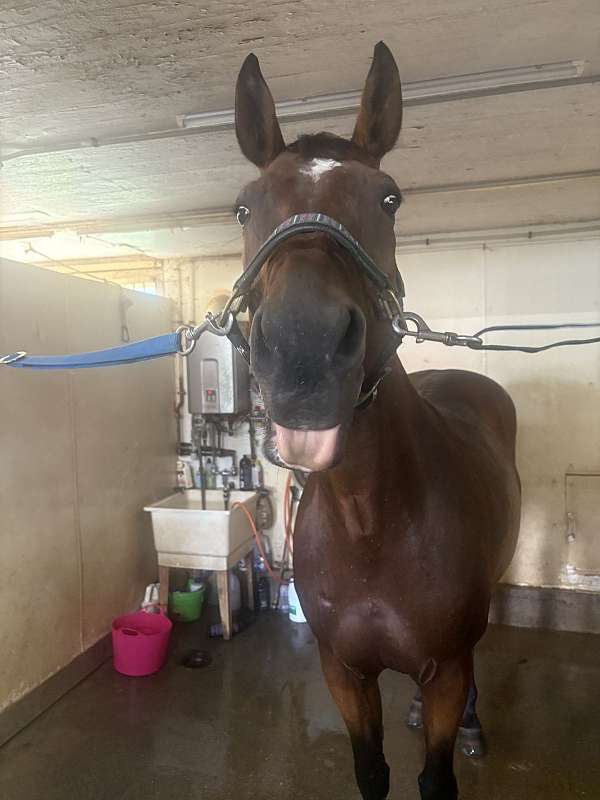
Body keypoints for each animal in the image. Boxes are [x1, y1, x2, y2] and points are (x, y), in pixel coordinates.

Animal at [233, 42, 521, 800]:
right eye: (243, 208)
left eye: (389, 198)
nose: (303, 351)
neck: (372, 522)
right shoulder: (344, 671)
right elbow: (372, 771)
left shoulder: (447, 666)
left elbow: (436, 776)